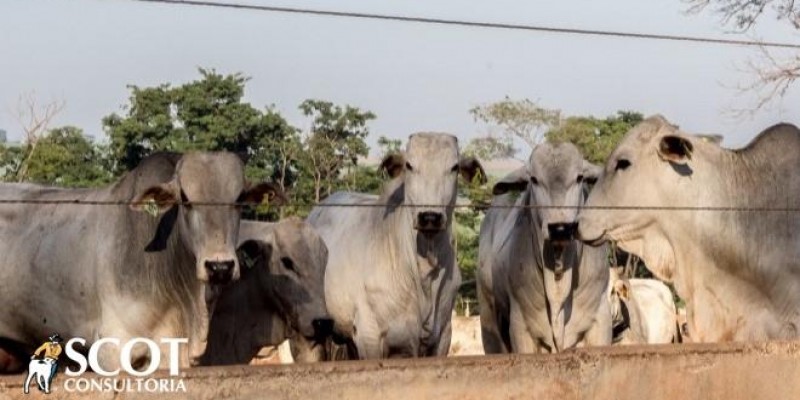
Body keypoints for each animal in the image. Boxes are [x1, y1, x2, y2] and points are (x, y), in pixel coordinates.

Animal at [478, 143, 608, 354]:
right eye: (534, 179)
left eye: (579, 177)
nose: (560, 228)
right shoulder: (521, 328)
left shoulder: (600, 319)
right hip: (488, 317)